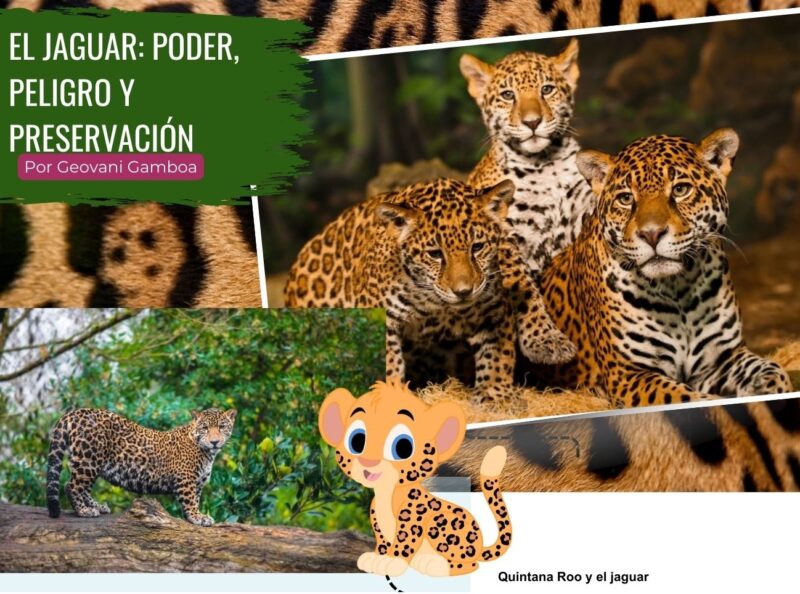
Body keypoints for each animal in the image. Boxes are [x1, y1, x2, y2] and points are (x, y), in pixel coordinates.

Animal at [46, 407, 236, 526]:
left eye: (222, 427)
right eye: (205, 428)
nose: (214, 442)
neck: (208, 454)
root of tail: (75, 412)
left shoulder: (198, 483)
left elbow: (195, 500)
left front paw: (194, 517)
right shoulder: (186, 480)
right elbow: (190, 501)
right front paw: (197, 517)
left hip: (92, 463)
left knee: (83, 488)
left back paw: (97, 507)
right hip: (89, 460)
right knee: (71, 486)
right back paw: (84, 511)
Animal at [284, 178, 575, 403]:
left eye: (477, 247)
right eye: (435, 254)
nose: (463, 291)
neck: (435, 303)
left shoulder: (494, 311)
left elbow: (497, 356)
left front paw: (495, 395)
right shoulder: (386, 321)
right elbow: (390, 363)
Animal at [318, 379, 512, 577]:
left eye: (402, 446)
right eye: (356, 441)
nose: (368, 461)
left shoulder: (412, 520)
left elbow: (403, 543)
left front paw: (392, 563)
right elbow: (382, 542)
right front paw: (375, 559)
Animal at [537, 129, 792, 408]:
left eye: (680, 190)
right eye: (626, 199)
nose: (651, 234)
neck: (677, 289)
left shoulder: (722, 358)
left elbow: (773, 371)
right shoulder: (628, 374)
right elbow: (687, 398)